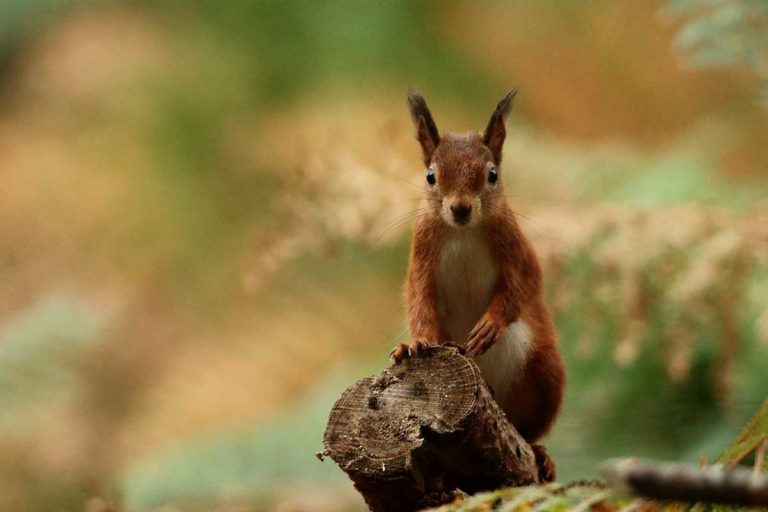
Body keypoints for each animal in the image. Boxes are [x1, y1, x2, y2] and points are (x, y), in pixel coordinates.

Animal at [390, 89, 564, 480]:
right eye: (430, 176)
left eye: (492, 175)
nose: (460, 208)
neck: (462, 233)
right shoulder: (421, 257)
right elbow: (418, 300)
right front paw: (415, 343)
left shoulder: (516, 248)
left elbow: (524, 285)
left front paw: (490, 325)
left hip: (546, 374)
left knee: (528, 429)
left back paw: (538, 451)